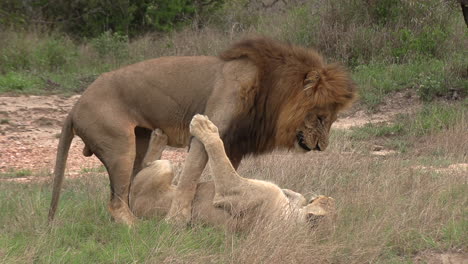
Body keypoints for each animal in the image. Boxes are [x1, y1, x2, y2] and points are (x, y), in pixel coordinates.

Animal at [128, 115, 334, 231]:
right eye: (327, 200)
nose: (326, 196)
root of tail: (133, 207)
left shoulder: (232, 190)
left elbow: (218, 151)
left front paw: (204, 126)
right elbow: (296, 195)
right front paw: (294, 193)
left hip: (163, 168)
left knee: (147, 164)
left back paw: (159, 136)